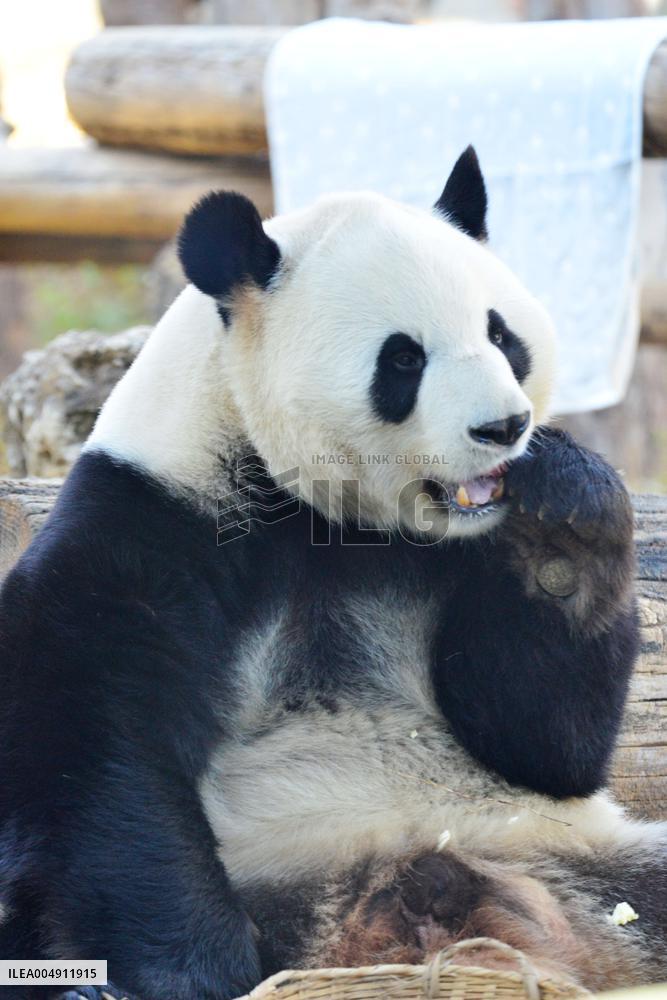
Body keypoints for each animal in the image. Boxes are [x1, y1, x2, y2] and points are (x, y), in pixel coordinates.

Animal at [0, 145, 665, 1000]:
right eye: (403, 358)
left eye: (500, 334)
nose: (504, 426)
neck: (333, 514)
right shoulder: (156, 521)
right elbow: (96, 742)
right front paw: (186, 969)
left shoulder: (461, 560)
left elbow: (542, 743)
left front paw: (563, 517)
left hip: (568, 848)